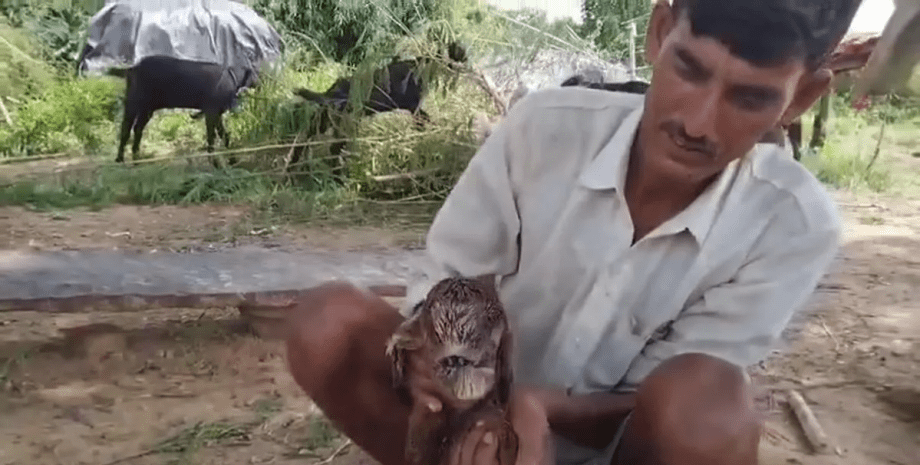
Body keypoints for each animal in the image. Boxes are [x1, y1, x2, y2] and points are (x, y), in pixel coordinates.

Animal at [108, 54, 255, 165]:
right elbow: (211, 137)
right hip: (133, 104)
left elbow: (224, 135)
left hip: (147, 109)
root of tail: (133, 68)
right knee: (125, 129)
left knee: (138, 129)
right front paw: (214, 162)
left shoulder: (217, 114)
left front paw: (232, 159)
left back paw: (137, 158)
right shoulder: (211, 113)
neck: (230, 77)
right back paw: (120, 159)